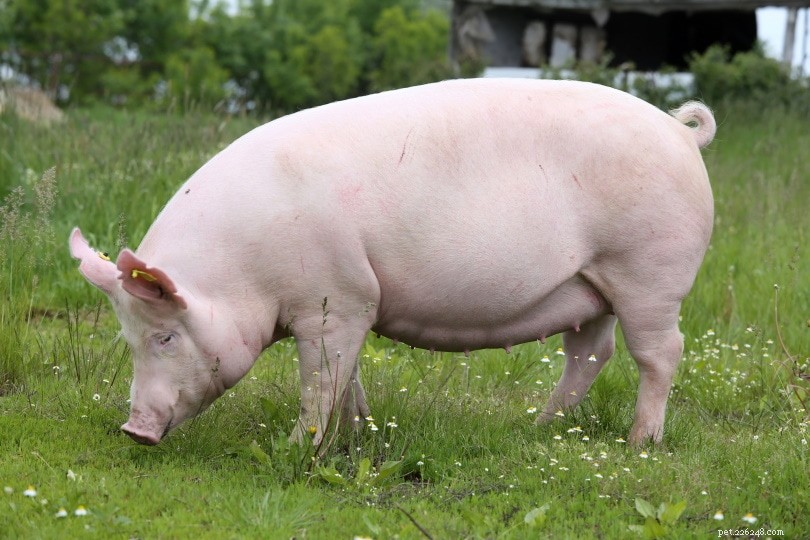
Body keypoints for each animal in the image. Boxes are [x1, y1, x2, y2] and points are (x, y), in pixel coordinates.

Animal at [69, 78, 715, 447]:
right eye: (129, 338)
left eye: (166, 337)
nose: (134, 429)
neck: (244, 270)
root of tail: (680, 132)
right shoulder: (354, 299)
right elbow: (348, 376)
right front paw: (356, 435)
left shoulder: (336, 297)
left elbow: (320, 381)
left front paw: (293, 449)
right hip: (593, 282)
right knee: (590, 353)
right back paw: (536, 429)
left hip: (650, 273)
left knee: (659, 353)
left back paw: (640, 443)